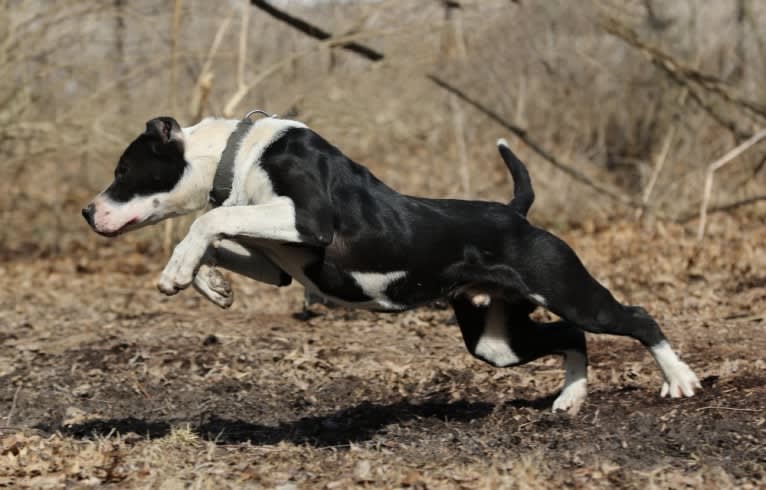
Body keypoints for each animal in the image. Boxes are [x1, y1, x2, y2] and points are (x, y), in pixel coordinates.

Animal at [82, 115, 704, 414]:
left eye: (122, 170)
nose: (88, 211)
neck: (236, 156)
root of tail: (515, 214)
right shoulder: (279, 259)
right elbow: (220, 233)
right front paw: (208, 282)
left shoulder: (308, 220)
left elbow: (208, 220)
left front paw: (178, 271)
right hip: (495, 340)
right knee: (571, 336)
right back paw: (570, 398)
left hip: (568, 289)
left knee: (636, 317)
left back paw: (679, 380)